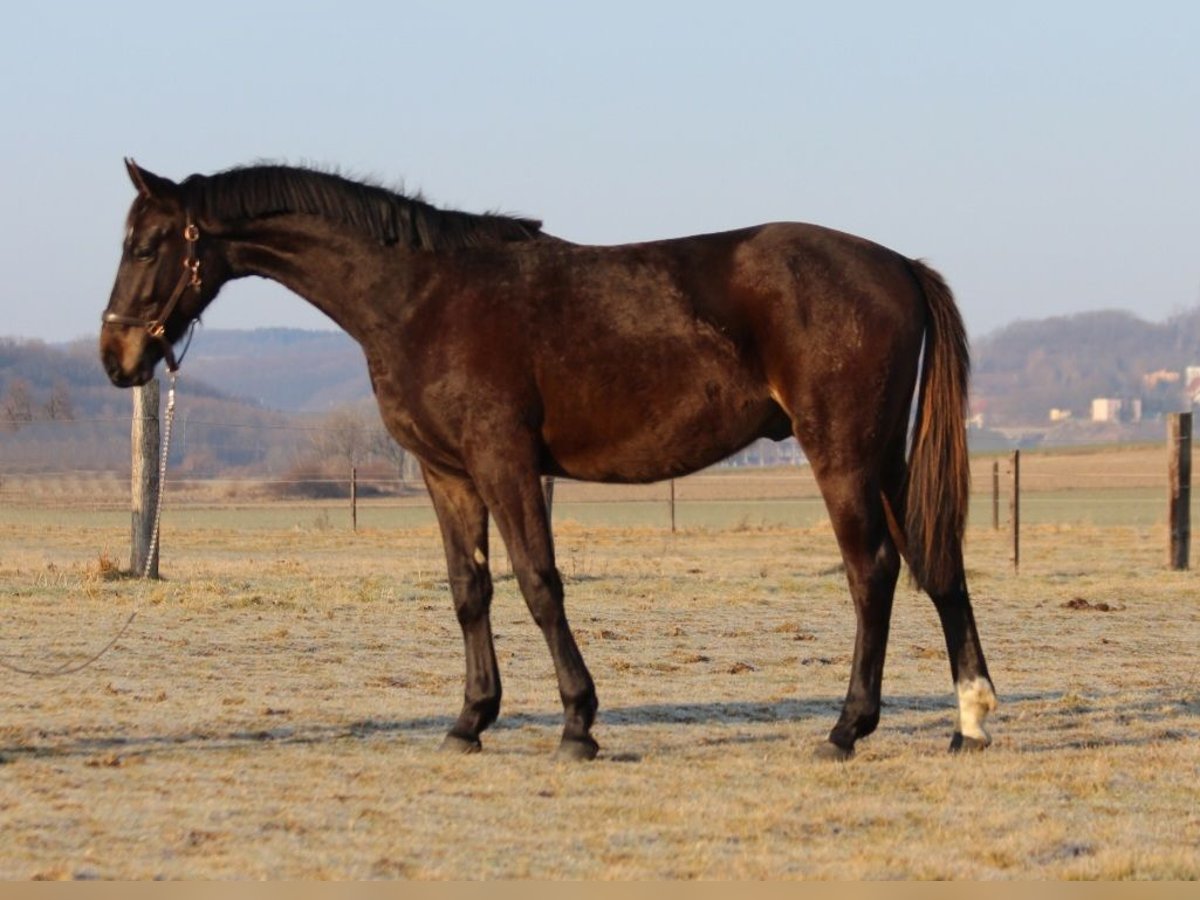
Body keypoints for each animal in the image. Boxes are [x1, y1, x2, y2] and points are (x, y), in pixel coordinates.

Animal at [100, 162, 993, 763]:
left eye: (146, 244)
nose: (116, 356)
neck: (420, 296)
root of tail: (898, 264)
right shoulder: (448, 475)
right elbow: (470, 592)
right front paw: (470, 721)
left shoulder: (504, 462)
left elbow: (537, 583)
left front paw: (577, 724)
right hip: (884, 459)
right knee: (935, 563)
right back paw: (970, 720)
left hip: (842, 453)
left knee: (873, 572)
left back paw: (847, 728)